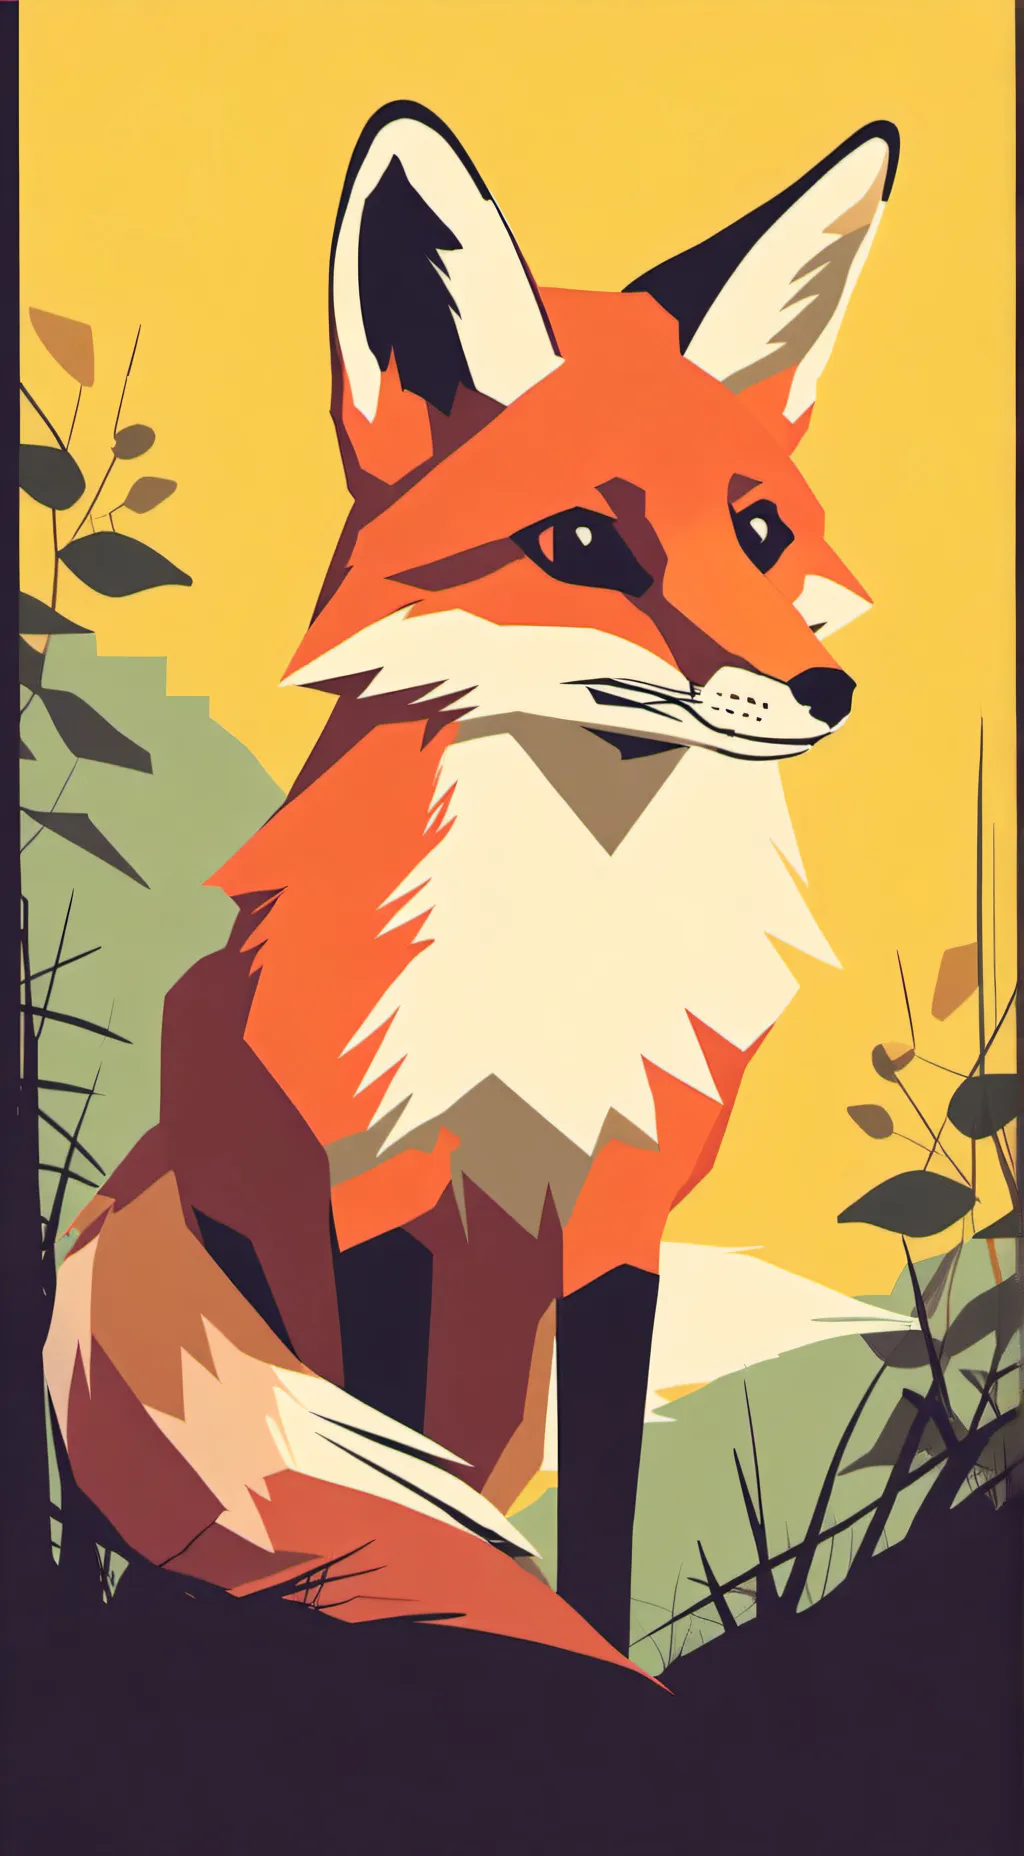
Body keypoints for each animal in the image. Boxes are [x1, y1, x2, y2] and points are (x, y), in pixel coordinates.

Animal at [44, 102, 899, 1662]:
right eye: (581, 545)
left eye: (759, 532)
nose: (828, 693)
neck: (564, 937)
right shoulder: (375, 1182)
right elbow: (412, 1485)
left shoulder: (624, 1205)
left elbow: (602, 1507)